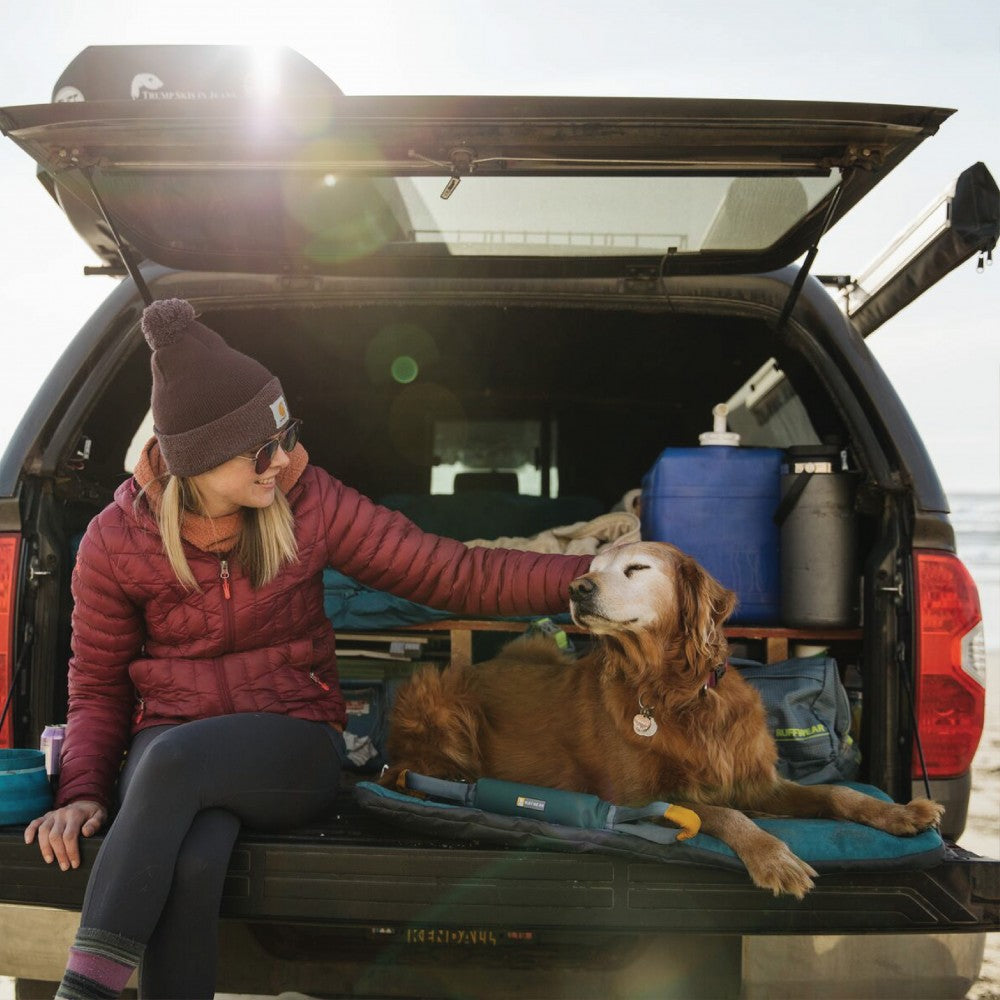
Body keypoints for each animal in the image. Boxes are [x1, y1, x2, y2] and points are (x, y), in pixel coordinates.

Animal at [378, 544, 940, 896]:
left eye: (637, 568)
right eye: (593, 566)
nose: (576, 587)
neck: (676, 693)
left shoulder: (756, 782)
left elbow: (838, 793)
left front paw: (900, 812)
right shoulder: (639, 796)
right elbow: (725, 814)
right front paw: (773, 856)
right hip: (438, 693)